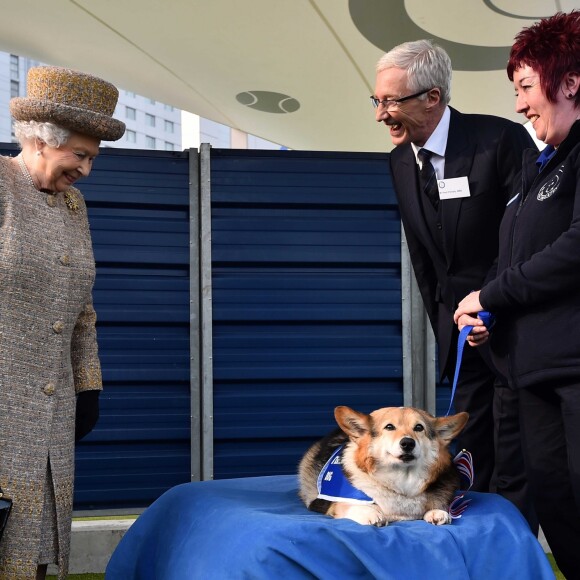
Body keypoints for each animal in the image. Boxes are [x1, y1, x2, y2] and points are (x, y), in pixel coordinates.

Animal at [296, 408, 468, 524]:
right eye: (389, 427)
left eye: (419, 427)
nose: (408, 443)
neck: (402, 481)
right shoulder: (330, 502)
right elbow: (347, 504)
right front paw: (369, 513)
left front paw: (437, 512)